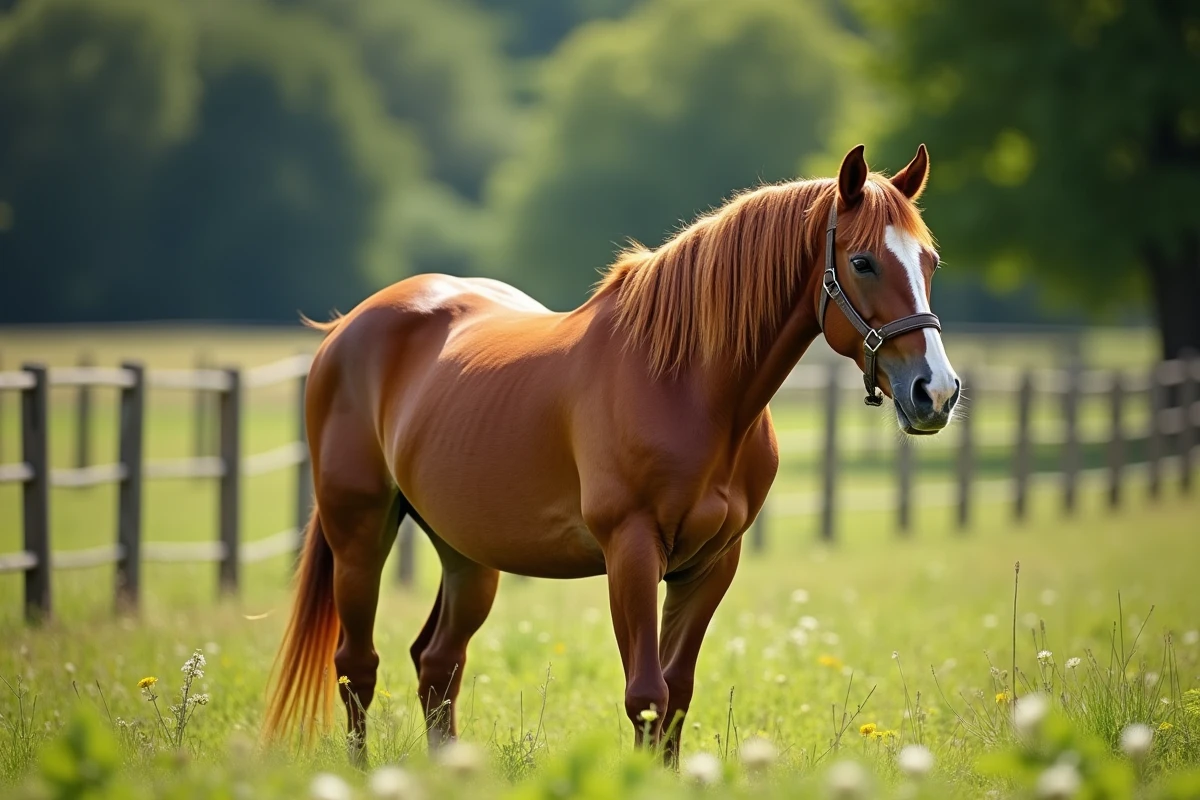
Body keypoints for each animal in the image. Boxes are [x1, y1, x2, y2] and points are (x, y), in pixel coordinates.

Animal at [262, 144, 960, 764]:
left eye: (929, 262)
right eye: (863, 261)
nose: (936, 391)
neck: (688, 386)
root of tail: (345, 329)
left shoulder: (711, 563)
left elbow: (676, 695)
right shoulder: (632, 550)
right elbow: (646, 696)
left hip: (466, 552)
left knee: (437, 663)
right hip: (359, 533)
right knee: (357, 667)